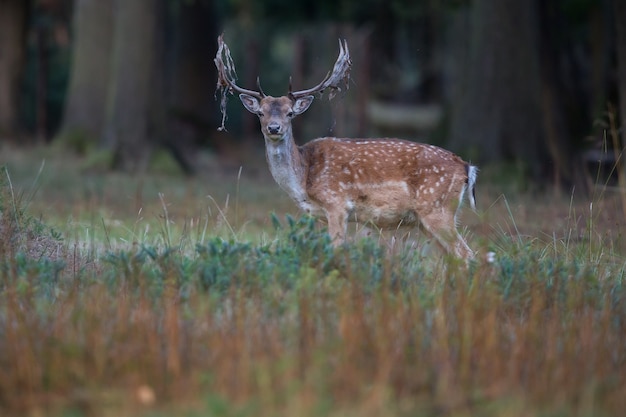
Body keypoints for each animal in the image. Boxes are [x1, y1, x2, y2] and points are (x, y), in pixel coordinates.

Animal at [214, 35, 478, 260]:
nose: (274, 128)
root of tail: (467, 167)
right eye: (261, 113)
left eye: (290, 113)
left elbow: (336, 249)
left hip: (437, 208)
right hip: (428, 219)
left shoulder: (337, 203)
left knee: (467, 255)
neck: (304, 178)